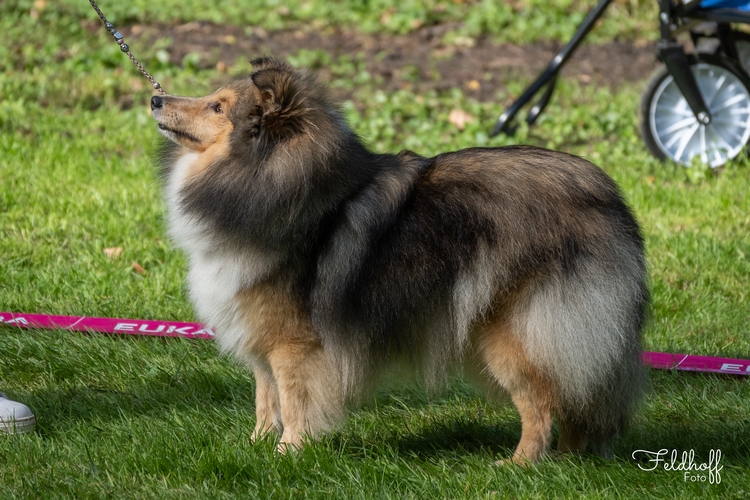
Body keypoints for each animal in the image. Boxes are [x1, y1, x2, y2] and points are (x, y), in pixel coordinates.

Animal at [150, 56, 648, 462]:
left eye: (218, 107)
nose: (155, 98)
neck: (272, 180)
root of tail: (614, 204)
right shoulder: (259, 335)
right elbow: (264, 397)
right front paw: (254, 447)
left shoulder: (294, 344)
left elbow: (293, 400)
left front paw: (287, 453)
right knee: (575, 399)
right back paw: (567, 460)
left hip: (516, 334)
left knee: (542, 404)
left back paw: (520, 465)